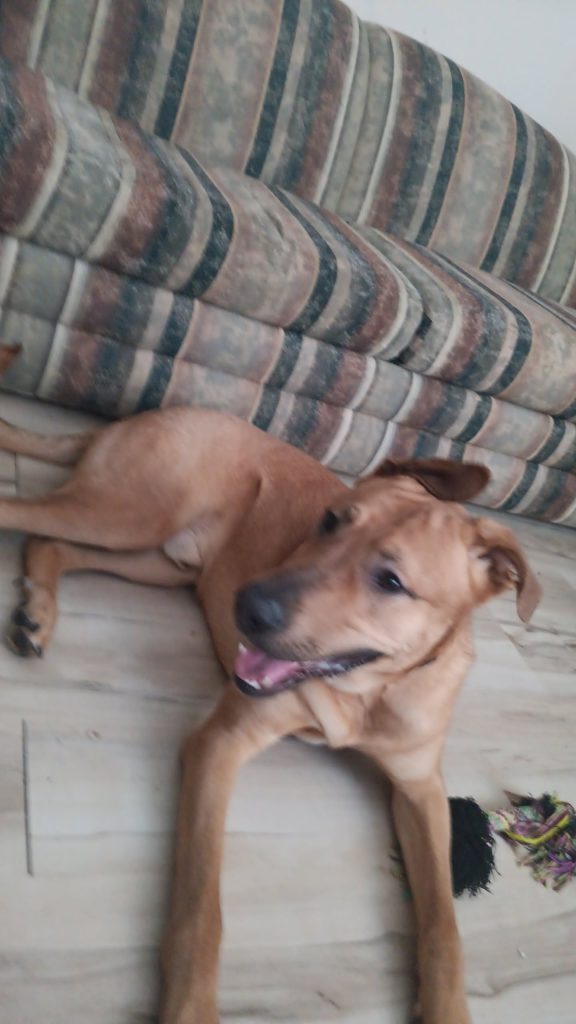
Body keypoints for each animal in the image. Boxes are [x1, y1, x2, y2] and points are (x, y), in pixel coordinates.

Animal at [0, 377, 540, 1024]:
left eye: (391, 581)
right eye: (330, 520)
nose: (248, 607)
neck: (369, 693)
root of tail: (151, 413)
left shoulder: (420, 789)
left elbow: (445, 922)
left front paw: (448, 1007)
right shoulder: (221, 743)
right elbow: (200, 907)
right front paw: (189, 1007)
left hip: (158, 559)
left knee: (50, 543)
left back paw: (38, 610)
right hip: (129, 512)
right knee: (19, 512)